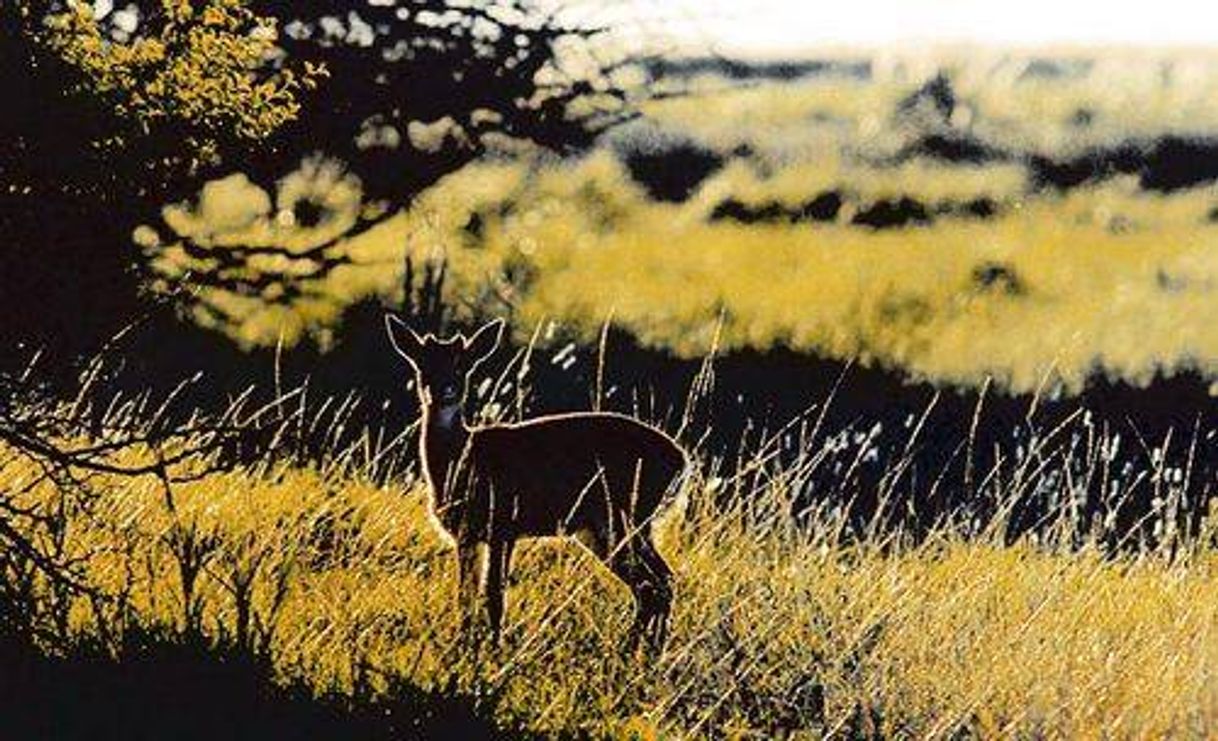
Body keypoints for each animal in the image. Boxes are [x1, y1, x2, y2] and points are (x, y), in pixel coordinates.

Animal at [389, 314, 696, 653]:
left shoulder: (503, 523)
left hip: (625, 517)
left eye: (462, 366)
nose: (444, 391)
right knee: (655, 584)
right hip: (609, 530)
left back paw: (636, 649)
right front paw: (465, 643)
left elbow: (494, 594)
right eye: (422, 364)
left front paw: (491, 649)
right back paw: (643, 650)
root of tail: (682, 461)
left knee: (658, 583)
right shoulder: (466, 535)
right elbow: (465, 594)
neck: (463, 461)